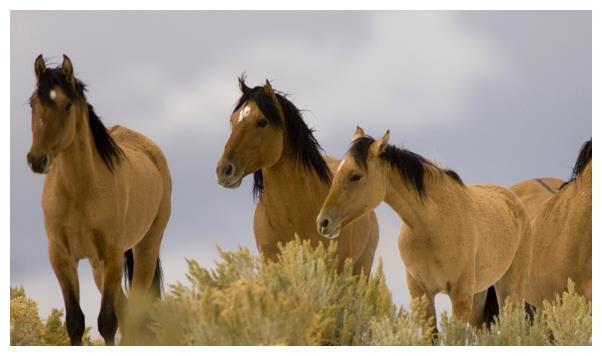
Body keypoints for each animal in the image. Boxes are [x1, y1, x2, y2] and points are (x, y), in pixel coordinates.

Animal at [26, 55, 171, 344]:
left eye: (67, 104)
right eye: (33, 103)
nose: (37, 159)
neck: (79, 192)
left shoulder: (111, 256)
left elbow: (107, 322)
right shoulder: (61, 257)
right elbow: (75, 322)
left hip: (145, 247)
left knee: (136, 314)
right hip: (96, 266)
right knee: (127, 311)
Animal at [314, 127, 528, 328]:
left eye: (355, 176)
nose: (323, 222)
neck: (433, 226)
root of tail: (514, 201)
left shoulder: (460, 294)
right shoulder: (422, 292)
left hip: (508, 290)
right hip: (480, 295)